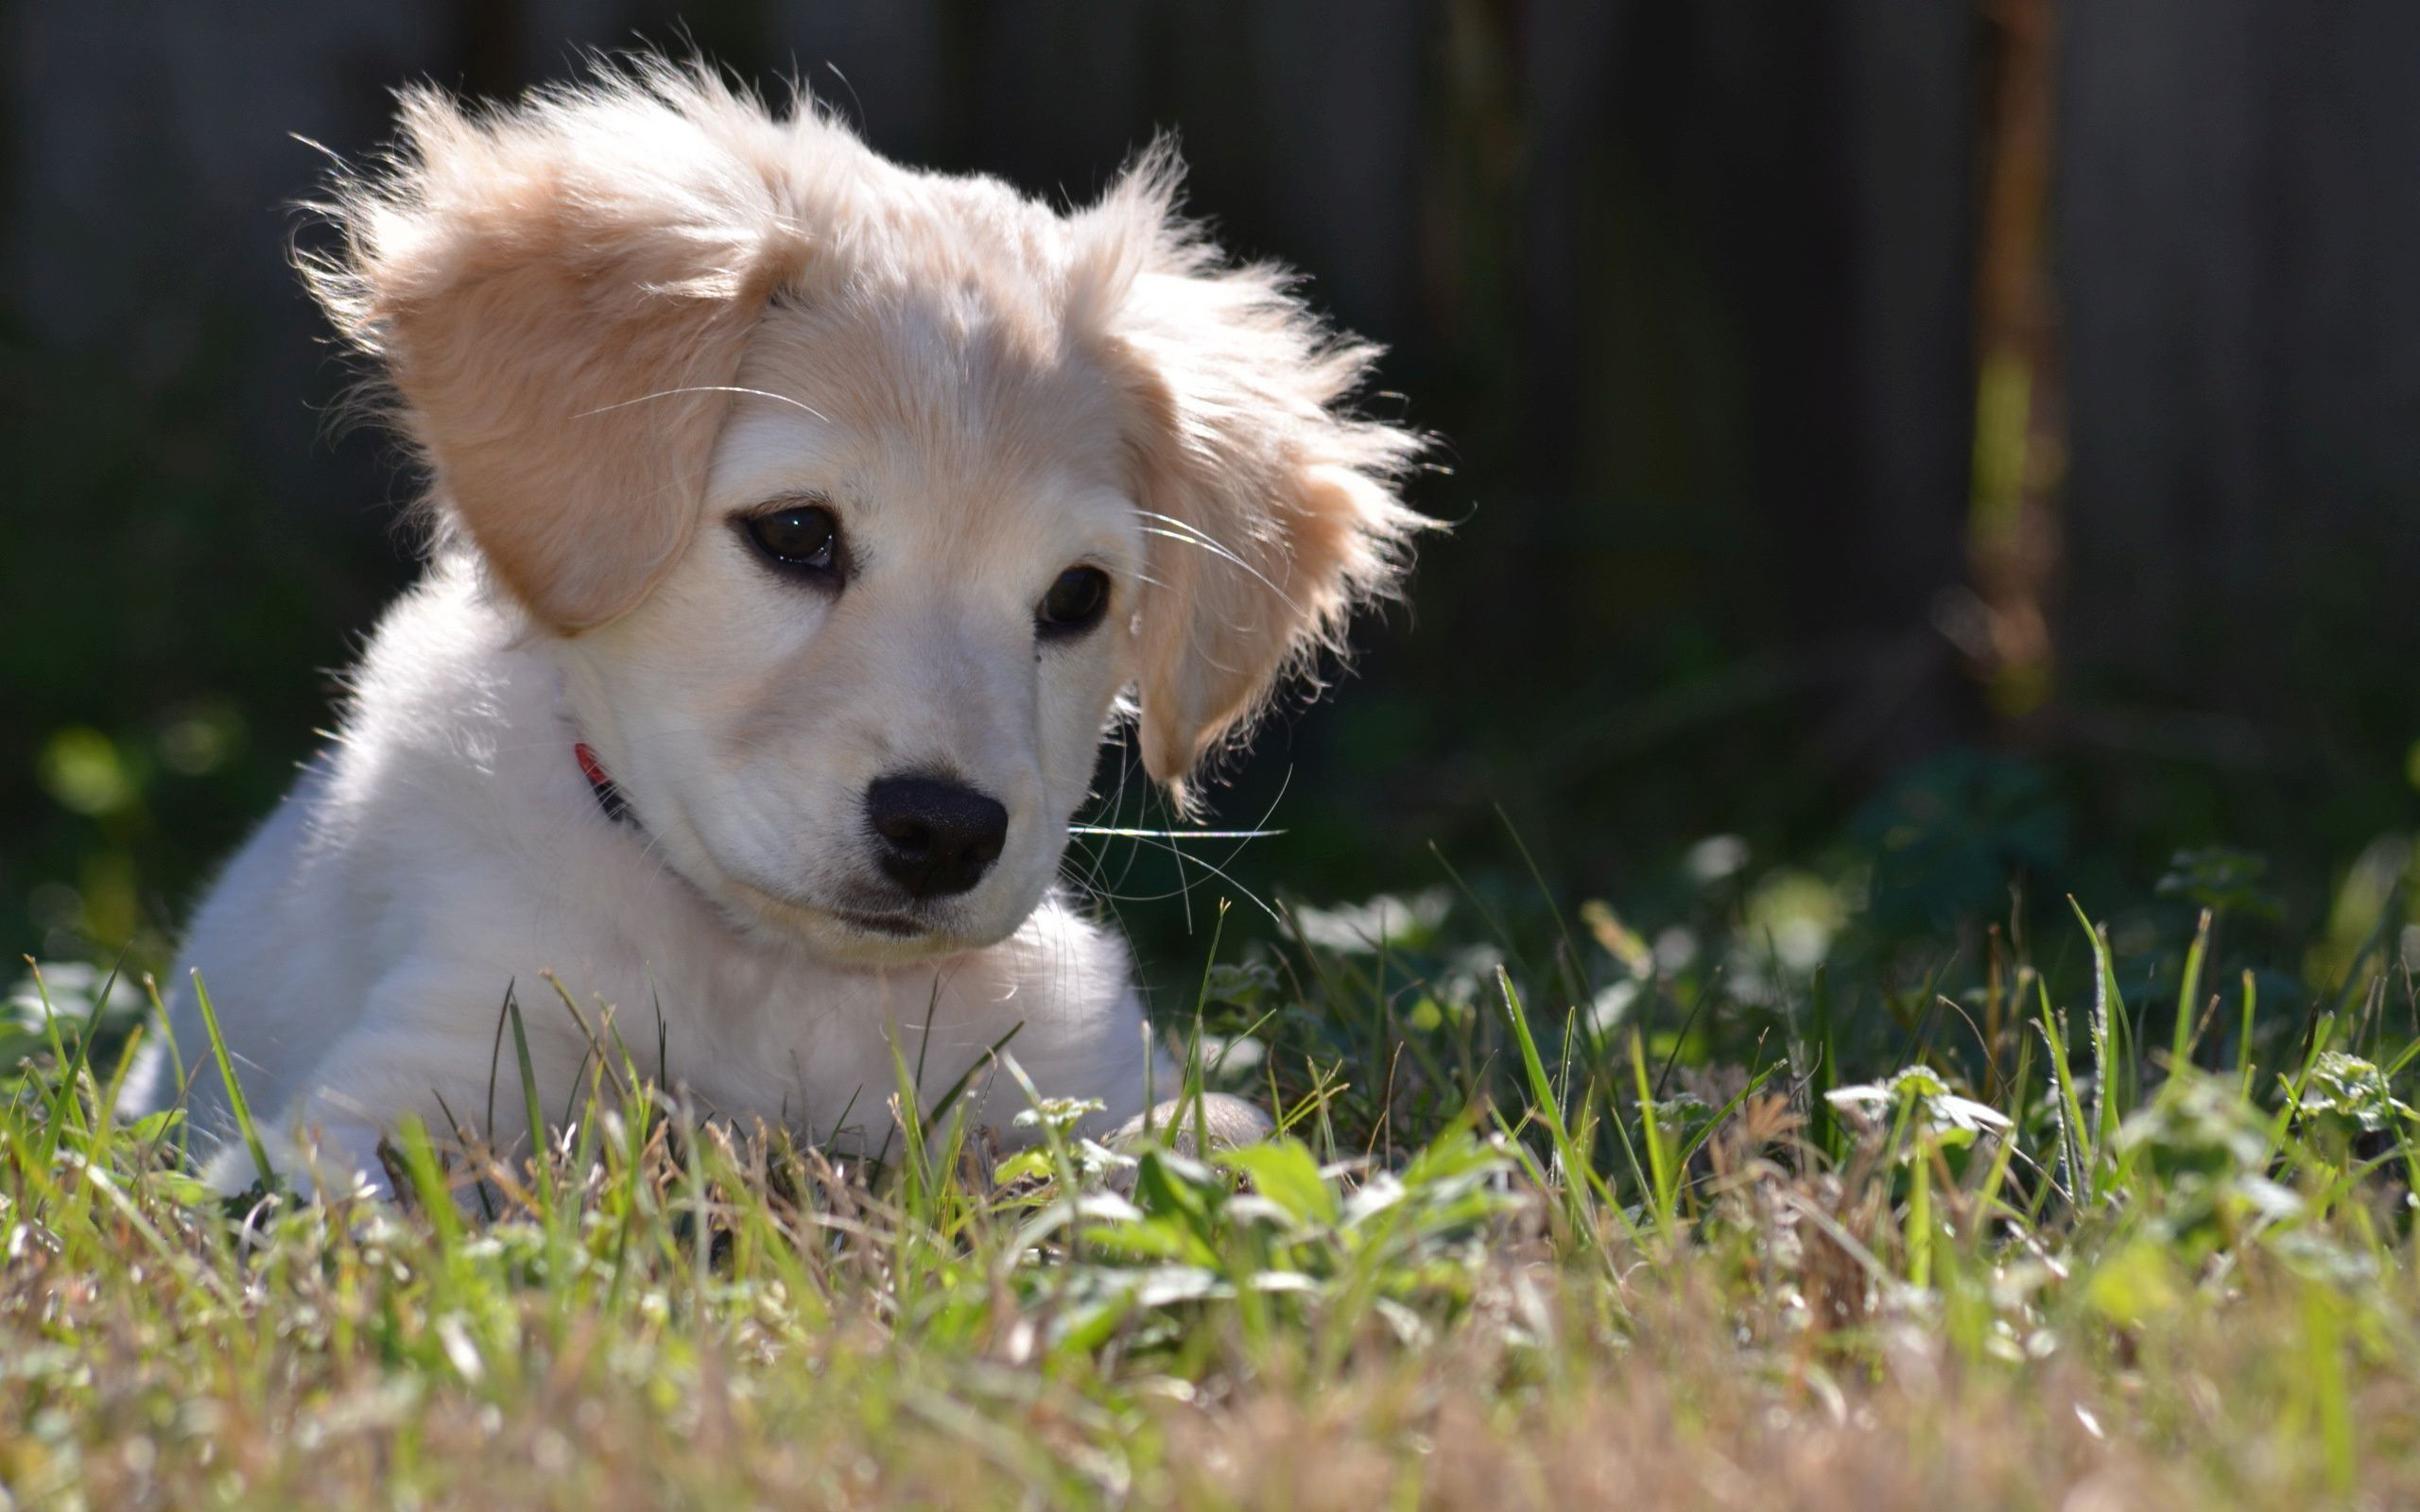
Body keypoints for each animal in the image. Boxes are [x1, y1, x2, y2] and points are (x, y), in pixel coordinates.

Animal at [128, 59, 1413, 1190]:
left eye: (1077, 596)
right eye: (797, 532)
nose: (945, 834)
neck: (779, 981)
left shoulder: (1092, 1077)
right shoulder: (405, 1084)